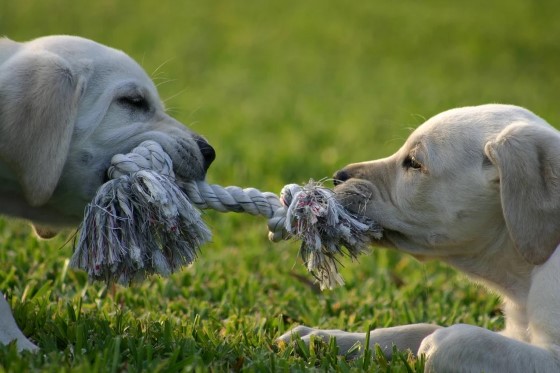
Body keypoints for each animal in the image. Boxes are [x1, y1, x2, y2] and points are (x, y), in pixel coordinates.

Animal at [282, 104, 560, 372]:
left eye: (414, 163)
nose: (338, 176)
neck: (522, 281)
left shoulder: (548, 357)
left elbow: (452, 342)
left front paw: (431, 346)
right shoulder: (514, 333)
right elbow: (414, 329)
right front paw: (323, 338)